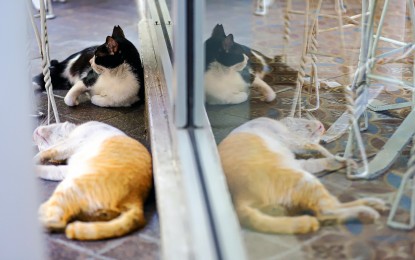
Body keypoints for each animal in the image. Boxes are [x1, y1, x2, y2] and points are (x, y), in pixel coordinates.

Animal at [219, 117, 388, 235]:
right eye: (307, 124)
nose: (321, 125)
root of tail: (239, 199)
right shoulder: (293, 141)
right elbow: (317, 147)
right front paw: (336, 155)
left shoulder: (298, 157)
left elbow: (320, 158)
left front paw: (342, 160)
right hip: (303, 178)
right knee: (325, 211)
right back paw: (366, 211)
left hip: (299, 175)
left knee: (330, 206)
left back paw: (373, 203)